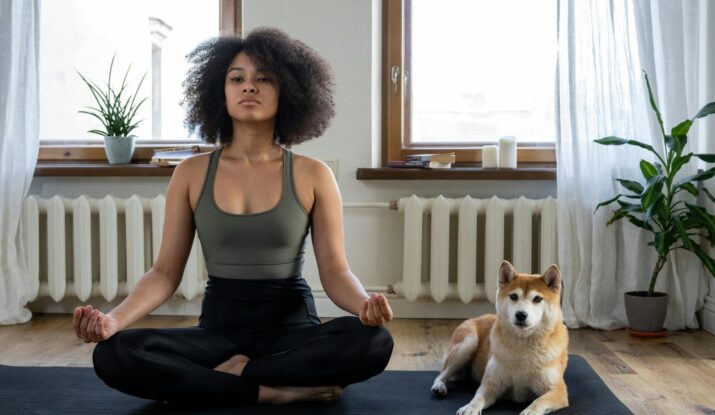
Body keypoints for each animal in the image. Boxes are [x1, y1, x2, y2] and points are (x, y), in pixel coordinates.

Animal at [430, 262, 572, 415]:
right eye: (514, 296)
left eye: (537, 299)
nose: (521, 314)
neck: (523, 347)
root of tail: (475, 318)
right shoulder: (491, 384)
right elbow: (477, 398)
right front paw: (469, 407)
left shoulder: (558, 390)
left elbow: (539, 401)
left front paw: (530, 411)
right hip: (467, 345)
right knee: (442, 374)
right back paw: (439, 386)